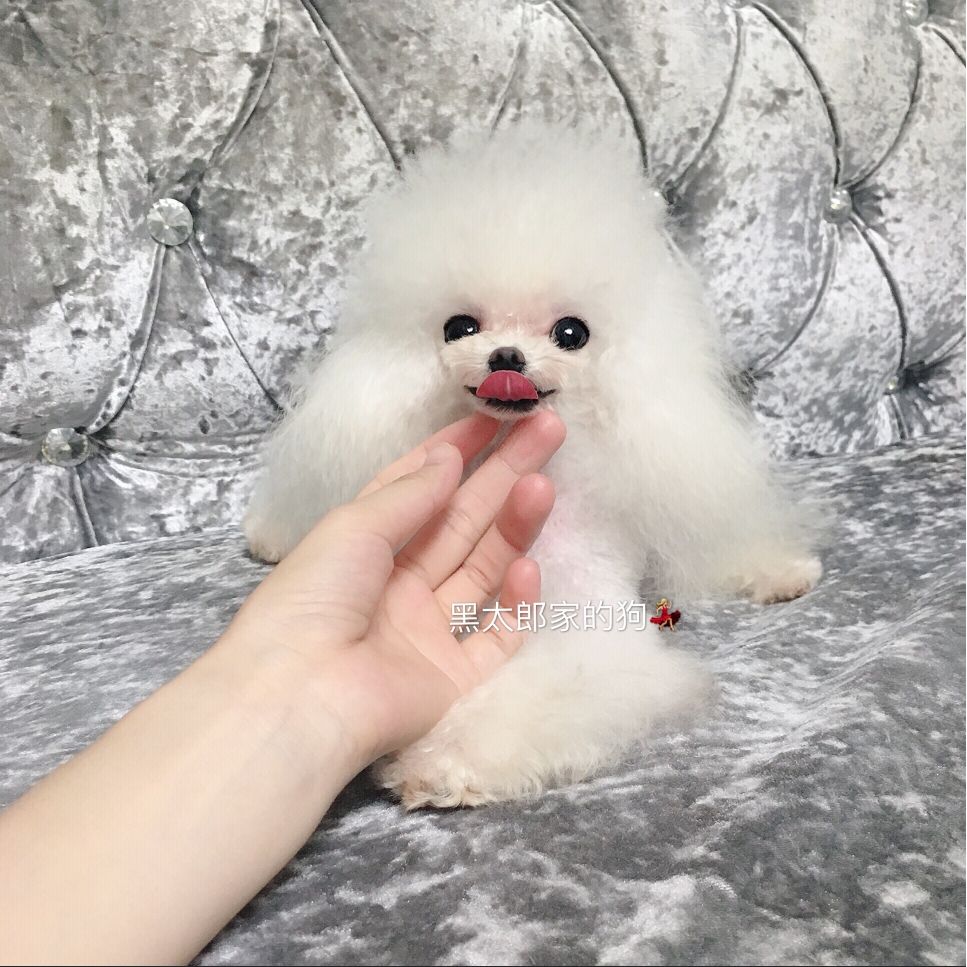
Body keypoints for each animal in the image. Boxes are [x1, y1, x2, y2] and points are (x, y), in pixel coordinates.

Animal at [246, 125, 820, 812]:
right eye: (459, 326)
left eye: (571, 332)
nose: (506, 356)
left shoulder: (590, 628)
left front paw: (446, 762)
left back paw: (783, 571)